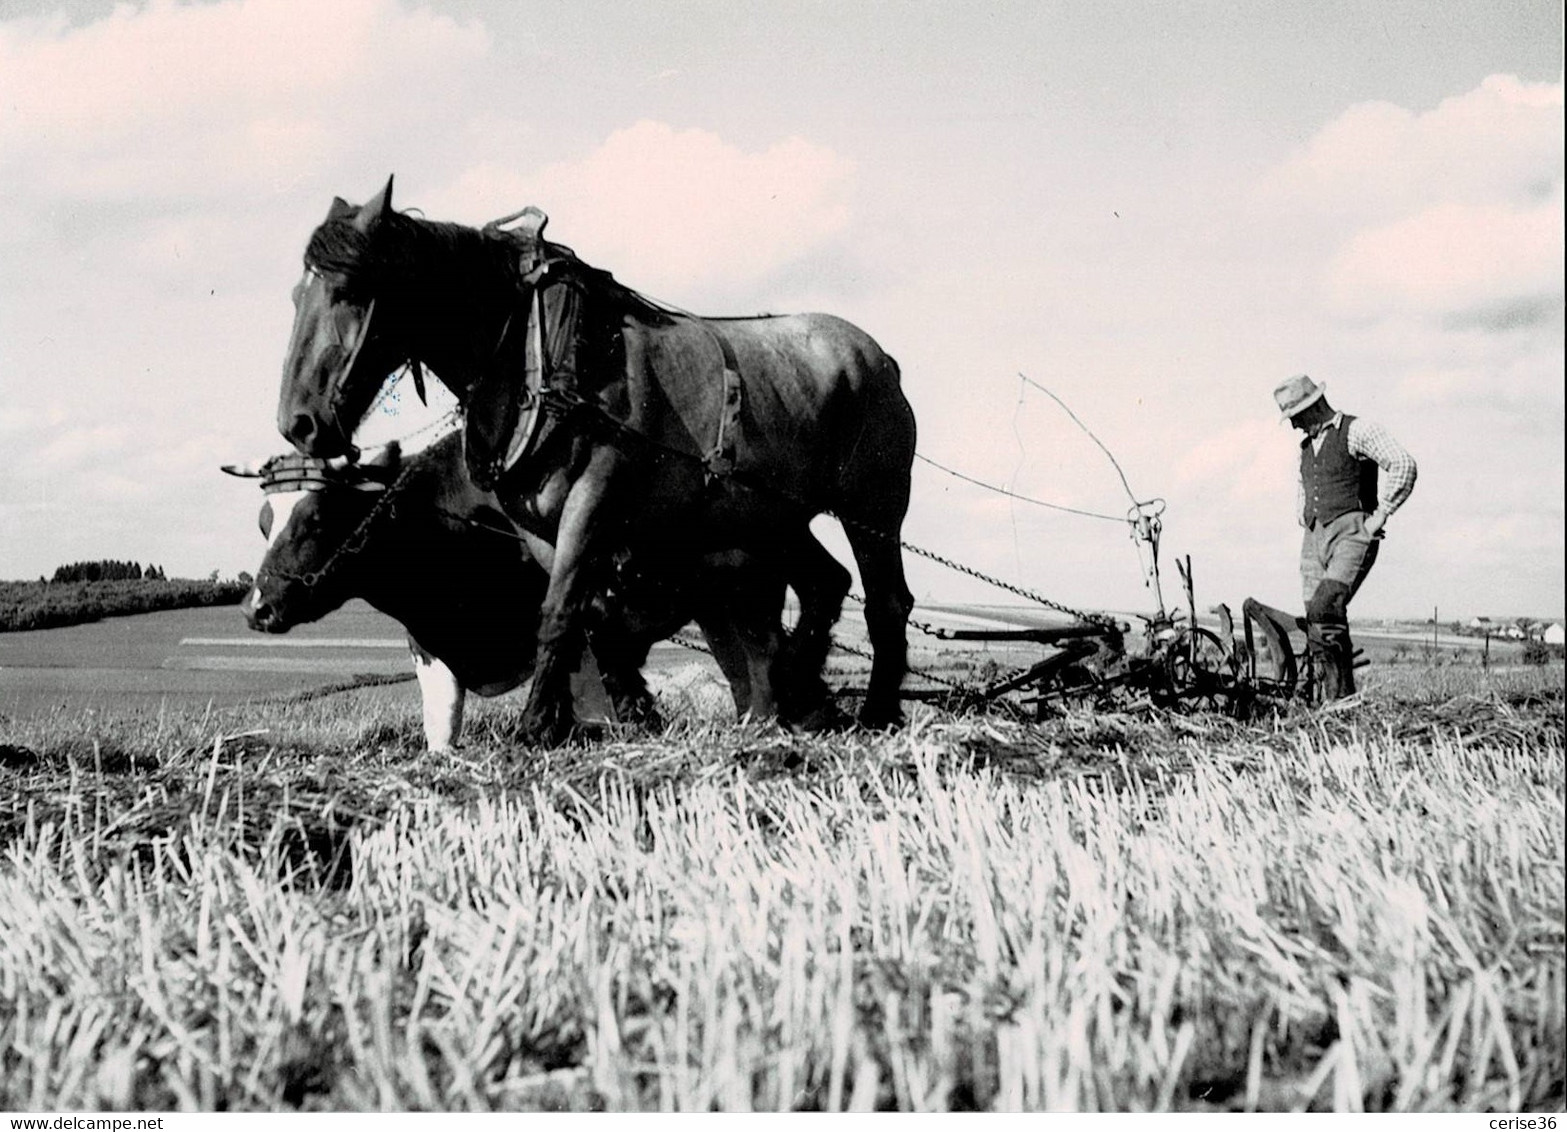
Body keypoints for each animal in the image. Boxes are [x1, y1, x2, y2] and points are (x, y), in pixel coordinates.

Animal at [275, 174, 915, 740]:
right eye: (296, 293)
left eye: (349, 290)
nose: (298, 424)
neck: (536, 354)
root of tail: (879, 358)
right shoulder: (534, 523)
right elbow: (579, 615)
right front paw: (607, 712)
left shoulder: (594, 499)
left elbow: (560, 610)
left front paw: (534, 726)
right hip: (771, 518)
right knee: (826, 585)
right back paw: (799, 690)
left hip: (874, 510)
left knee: (886, 602)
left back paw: (874, 713)